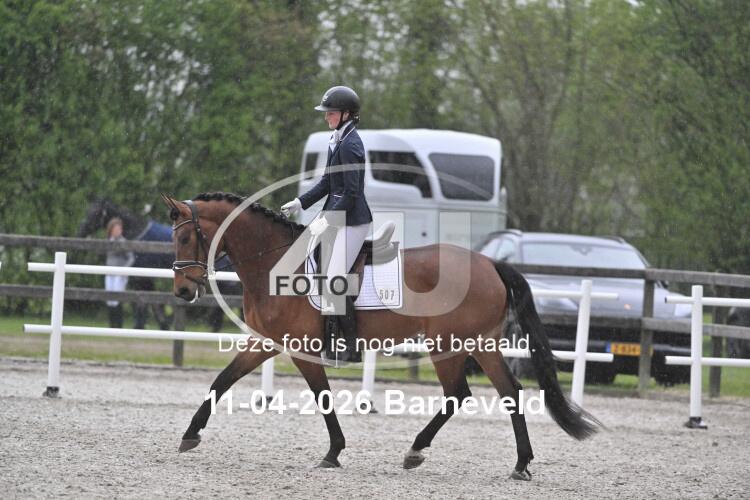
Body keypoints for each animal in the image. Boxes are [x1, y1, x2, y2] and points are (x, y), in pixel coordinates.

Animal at [78, 198, 240, 331]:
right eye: (87, 211)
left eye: (95, 213)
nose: (81, 232)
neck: (137, 234)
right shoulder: (143, 282)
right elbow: (153, 308)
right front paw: (163, 326)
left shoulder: (143, 281)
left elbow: (147, 308)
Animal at [163, 192, 601, 480]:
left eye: (185, 238)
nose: (182, 291)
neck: (274, 261)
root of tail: (489, 263)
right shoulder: (264, 343)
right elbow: (221, 381)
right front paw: (189, 435)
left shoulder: (302, 349)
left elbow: (322, 398)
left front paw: (333, 452)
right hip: (483, 344)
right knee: (510, 392)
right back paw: (521, 464)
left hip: (448, 345)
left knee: (458, 394)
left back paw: (415, 451)